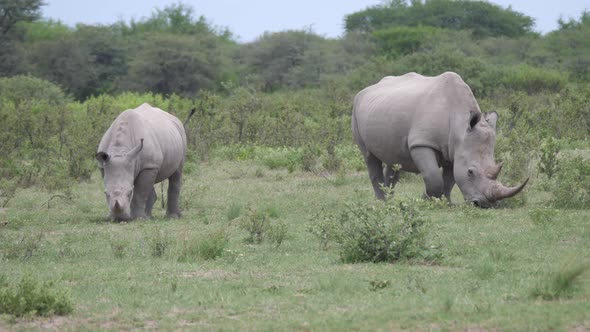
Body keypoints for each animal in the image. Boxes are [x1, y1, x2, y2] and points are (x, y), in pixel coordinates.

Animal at [354, 72, 528, 208]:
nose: (484, 204)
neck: (460, 124)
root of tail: (365, 90)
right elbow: (433, 176)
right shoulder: (422, 143)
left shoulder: (454, 151)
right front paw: (426, 199)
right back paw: (381, 203)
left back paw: (389, 200)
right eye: (470, 172)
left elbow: (449, 180)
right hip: (356, 110)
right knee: (369, 156)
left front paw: (446, 202)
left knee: (394, 160)